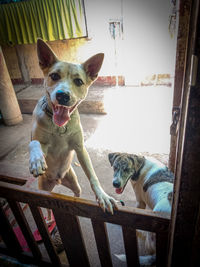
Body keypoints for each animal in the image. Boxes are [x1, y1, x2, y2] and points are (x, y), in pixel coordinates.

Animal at [28, 38, 117, 218]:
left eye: (78, 81)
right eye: (54, 76)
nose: (63, 95)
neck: (59, 127)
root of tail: (57, 180)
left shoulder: (80, 147)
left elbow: (93, 176)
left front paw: (103, 196)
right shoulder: (41, 143)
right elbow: (34, 143)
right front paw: (36, 160)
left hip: (74, 182)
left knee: (77, 194)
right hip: (43, 187)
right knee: (47, 207)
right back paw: (50, 217)